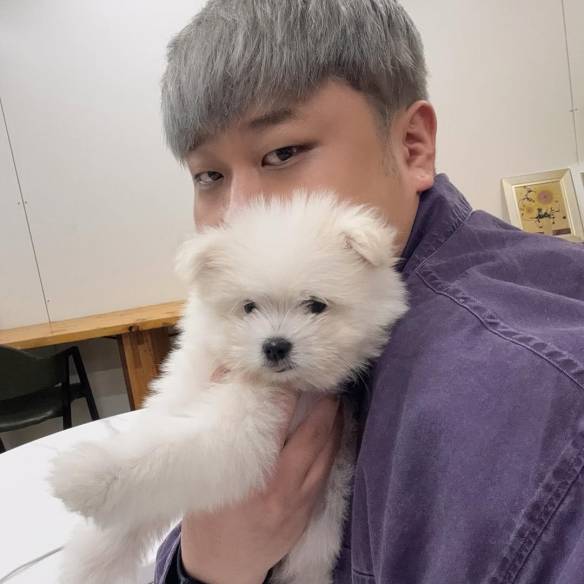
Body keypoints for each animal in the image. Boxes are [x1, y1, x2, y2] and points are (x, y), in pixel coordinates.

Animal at [48, 190, 408, 584]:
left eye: (315, 305)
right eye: (248, 307)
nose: (275, 345)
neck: (253, 378)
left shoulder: (242, 434)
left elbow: (167, 450)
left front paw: (88, 473)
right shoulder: (181, 392)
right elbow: (130, 512)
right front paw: (88, 565)